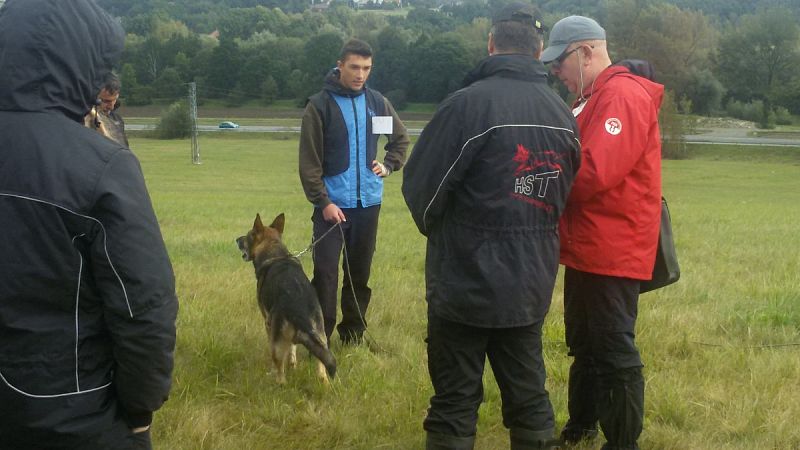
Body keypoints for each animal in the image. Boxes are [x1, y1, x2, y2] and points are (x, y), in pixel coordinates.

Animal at [238, 214, 338, 384]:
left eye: (248, 235)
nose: (237, 239)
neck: (275, 252)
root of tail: (299, 310)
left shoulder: (268, 323)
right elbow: (292, 350)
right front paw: (293, 365)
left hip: (277, 341)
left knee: (280, 371)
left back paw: (277, 381)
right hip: (321, 338)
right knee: (323, 369)